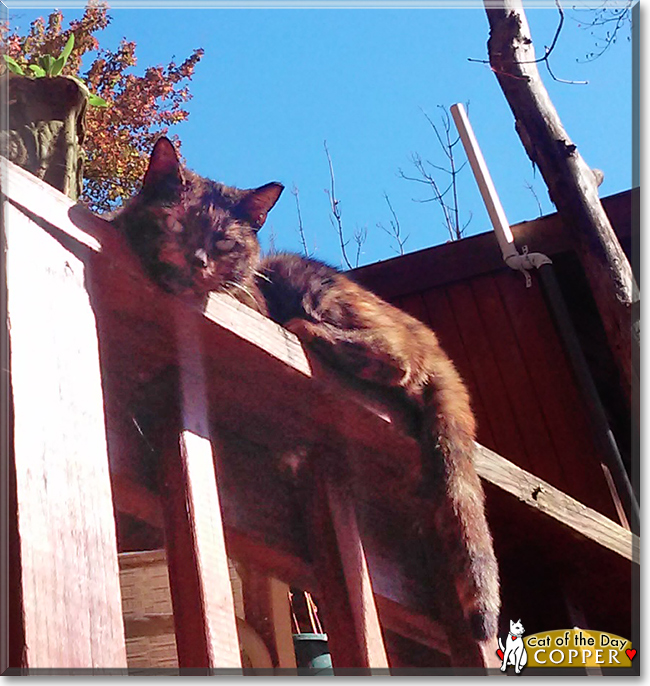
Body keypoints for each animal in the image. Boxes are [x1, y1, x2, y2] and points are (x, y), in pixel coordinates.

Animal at [111, 137, 498, 644]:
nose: (196, 260)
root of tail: (432, 340)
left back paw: (307, 330)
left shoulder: (250, 298)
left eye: (224, 242)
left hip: (306, 281)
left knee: (400, 363)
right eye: (176, 222)